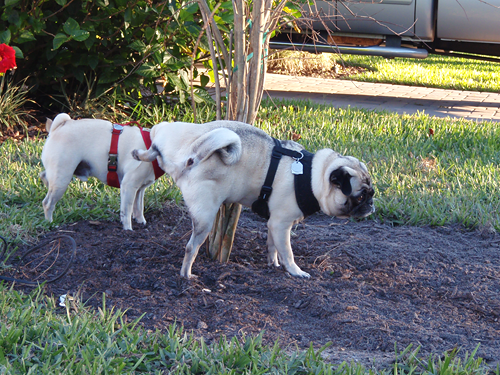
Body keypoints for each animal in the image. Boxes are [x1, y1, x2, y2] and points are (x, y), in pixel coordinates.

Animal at [131, 121, 374, 280]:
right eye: (360, 196)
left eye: (371, 192)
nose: (371, 204)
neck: (313, 175)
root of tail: (191, 152)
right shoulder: (282, 224)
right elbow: (287, 252)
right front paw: (295, 271)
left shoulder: (273, 224)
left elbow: (273, 246)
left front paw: (272, 263)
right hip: (206, 217)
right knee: (191, 248)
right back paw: (186, 275)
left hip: (168, 137)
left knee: (154, 150)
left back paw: (140, 154)